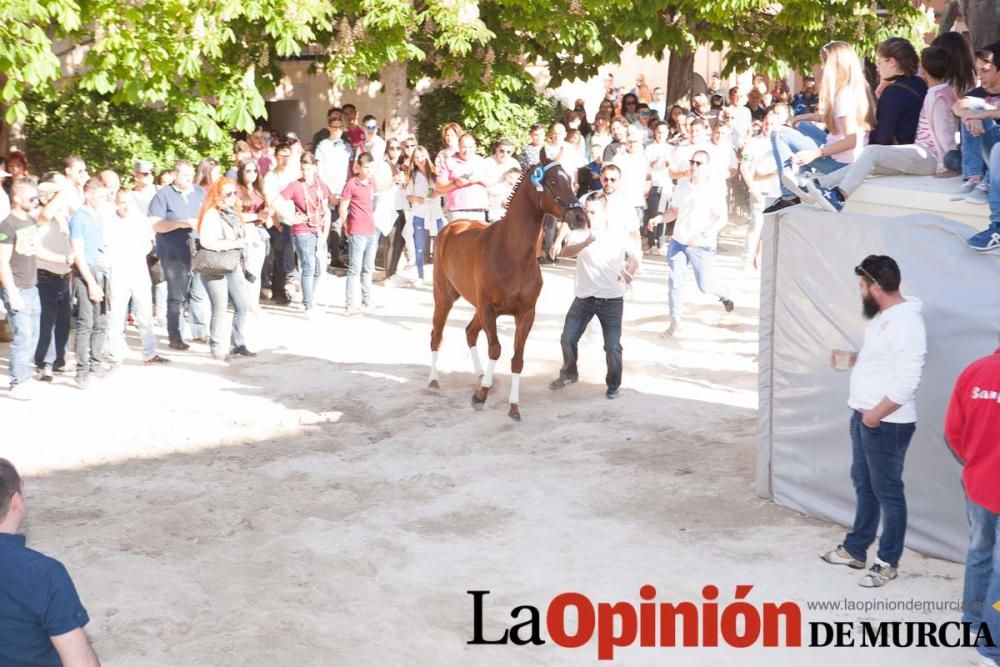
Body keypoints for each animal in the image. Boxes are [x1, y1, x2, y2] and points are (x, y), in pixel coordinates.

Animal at [428, 157, 584, 420]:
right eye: (553, 181)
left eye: (571, 181)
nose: (580, 217)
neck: (512, 253)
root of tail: (452, 226)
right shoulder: (488, 309)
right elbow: (495, 349)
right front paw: (480, 396)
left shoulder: (525, 314)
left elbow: (517, 359)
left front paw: (513, 406)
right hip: (444, 296)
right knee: (437, 335)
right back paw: (433, 381)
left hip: (475, 308)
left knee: (470, 332)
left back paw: (481, 375)